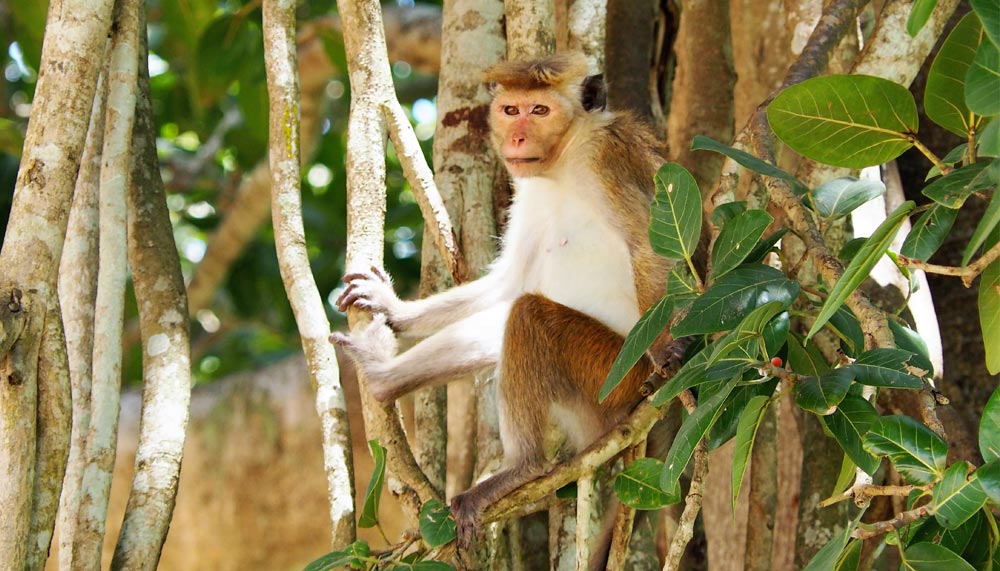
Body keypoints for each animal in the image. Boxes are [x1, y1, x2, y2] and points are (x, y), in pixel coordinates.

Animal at [332, 52, 684, 568]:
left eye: (539, 110)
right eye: (510, 110)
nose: (516, 138)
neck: (565, 158)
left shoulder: (608, 159)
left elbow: (652, 248)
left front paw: (665, 347)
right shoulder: (528, 189)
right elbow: (510, 279)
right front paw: (392, 306)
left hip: (613, 376)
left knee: (529, 316)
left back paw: (524, 467)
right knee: (503, 321)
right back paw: (381, 377)